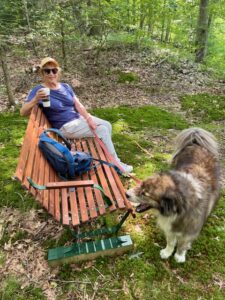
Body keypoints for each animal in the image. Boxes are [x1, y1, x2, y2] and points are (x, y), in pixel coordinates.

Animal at [125, 128, 221, 262]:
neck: (177, 209)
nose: (126, 194)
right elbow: (170, 241)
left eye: (145, 193)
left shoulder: (189, 230)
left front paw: (179, 256)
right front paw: (167, 252)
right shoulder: (169, 228)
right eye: (141, 185)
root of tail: (196, 143)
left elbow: (183, 244)